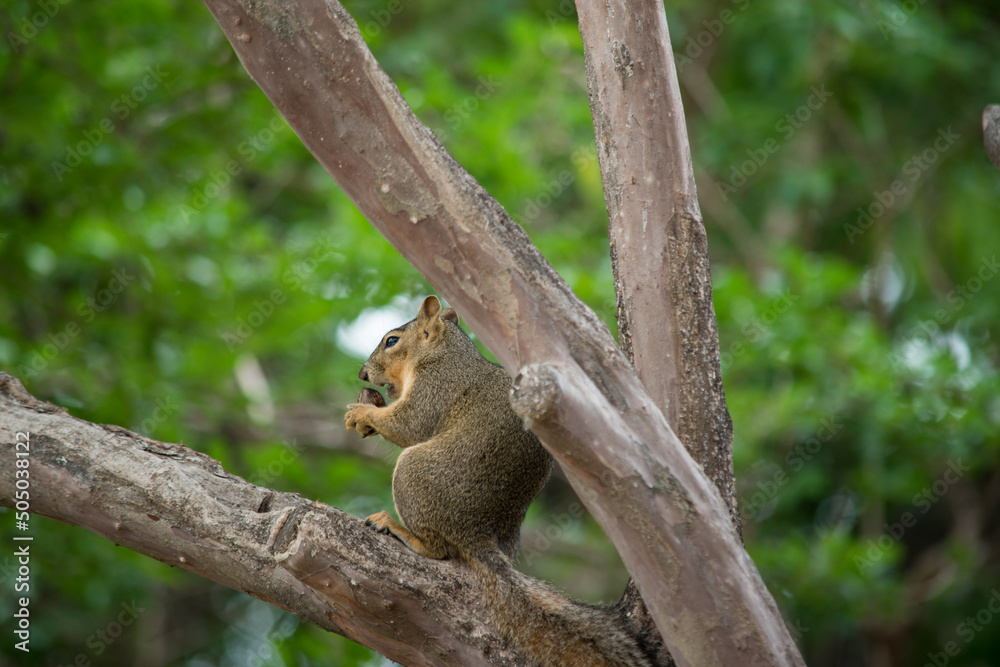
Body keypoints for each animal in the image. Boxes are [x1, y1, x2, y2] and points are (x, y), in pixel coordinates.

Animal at [345, 296, 657, 667]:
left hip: (413, 472)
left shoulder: (438, 384)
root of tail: (477, 534)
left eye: (392, 340)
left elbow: (410, 424)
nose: (363, 373)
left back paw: (398, 529)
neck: (445, 351)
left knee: (438, 550)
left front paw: (362, 413)